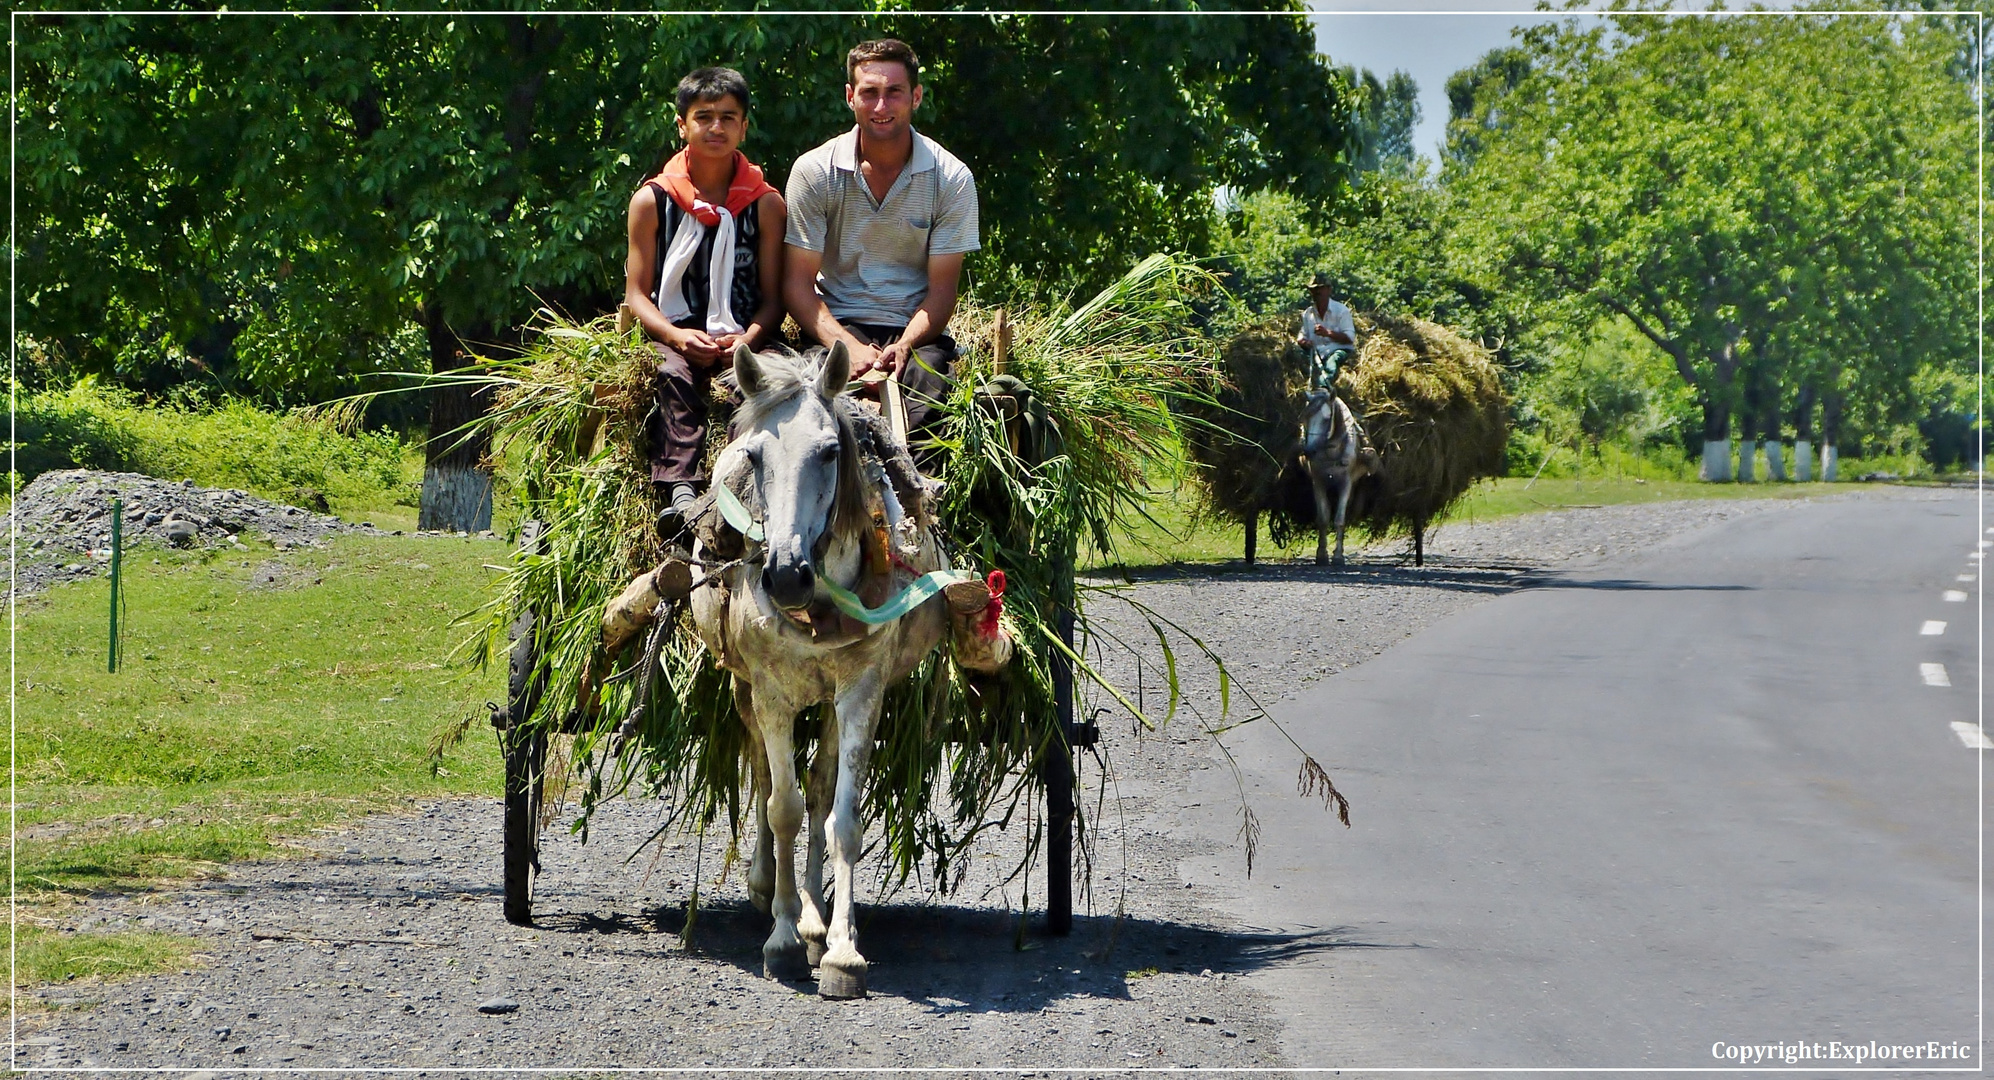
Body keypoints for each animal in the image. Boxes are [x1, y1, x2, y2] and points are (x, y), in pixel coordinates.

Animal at [689, 342, 1004, 1004]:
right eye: (754, 456)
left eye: (831, 451)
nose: (785, 574)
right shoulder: (773, 694)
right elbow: (780, 807)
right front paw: (781, 941)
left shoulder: (860, 692)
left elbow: (841, 819)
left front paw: (839, 949)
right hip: (747, 688)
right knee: (767, 778)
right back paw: (773, 893)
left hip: (832, 703)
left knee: (818, 785)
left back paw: (814, 916)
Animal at [1300, 392, 1379, 573]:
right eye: (1306, 418)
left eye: (1326, 419)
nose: (1308, 451)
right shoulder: (1318, 482)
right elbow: (1323, 518)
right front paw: (1322, 555)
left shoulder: (1346, 483)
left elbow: (1339, 519)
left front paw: (1338, 556)